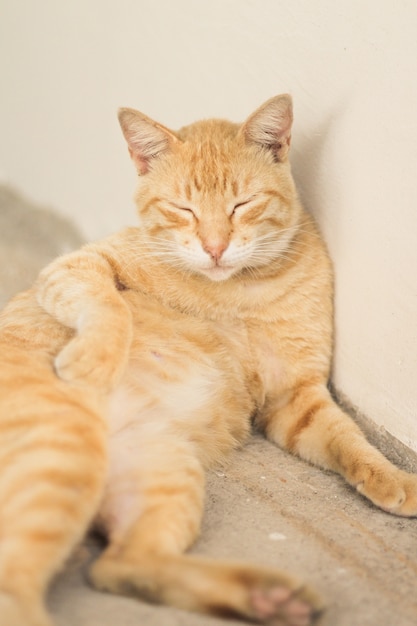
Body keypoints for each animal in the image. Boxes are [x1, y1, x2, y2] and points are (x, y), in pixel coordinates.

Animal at [0, 92, 416, 624]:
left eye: (242, 204)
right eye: (184, 209)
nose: (215, 248)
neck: (239, 291)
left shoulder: (295, 398)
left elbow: (351, 442)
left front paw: (392, 478)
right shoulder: (76, 264)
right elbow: (108, 303)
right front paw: (93, 359)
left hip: (160, 470)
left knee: (121, 566)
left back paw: (269, 597)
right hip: (58, 455)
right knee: (17, 590)